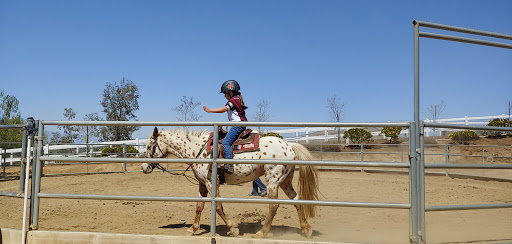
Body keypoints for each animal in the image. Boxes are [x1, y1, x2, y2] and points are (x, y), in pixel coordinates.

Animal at [142, 127, 318, 237]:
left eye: (150, 146)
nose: (144, 167)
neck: (197, 149)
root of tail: (289, 145)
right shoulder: (202, 184)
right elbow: (199, 206)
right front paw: (192, 229)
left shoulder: (212, 183)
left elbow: (218, 207)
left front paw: (233, 230)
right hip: (285, 181)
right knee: (297, 200)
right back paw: (306, 229)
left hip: (273, 181)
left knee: (273, 206)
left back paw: (262, 232)